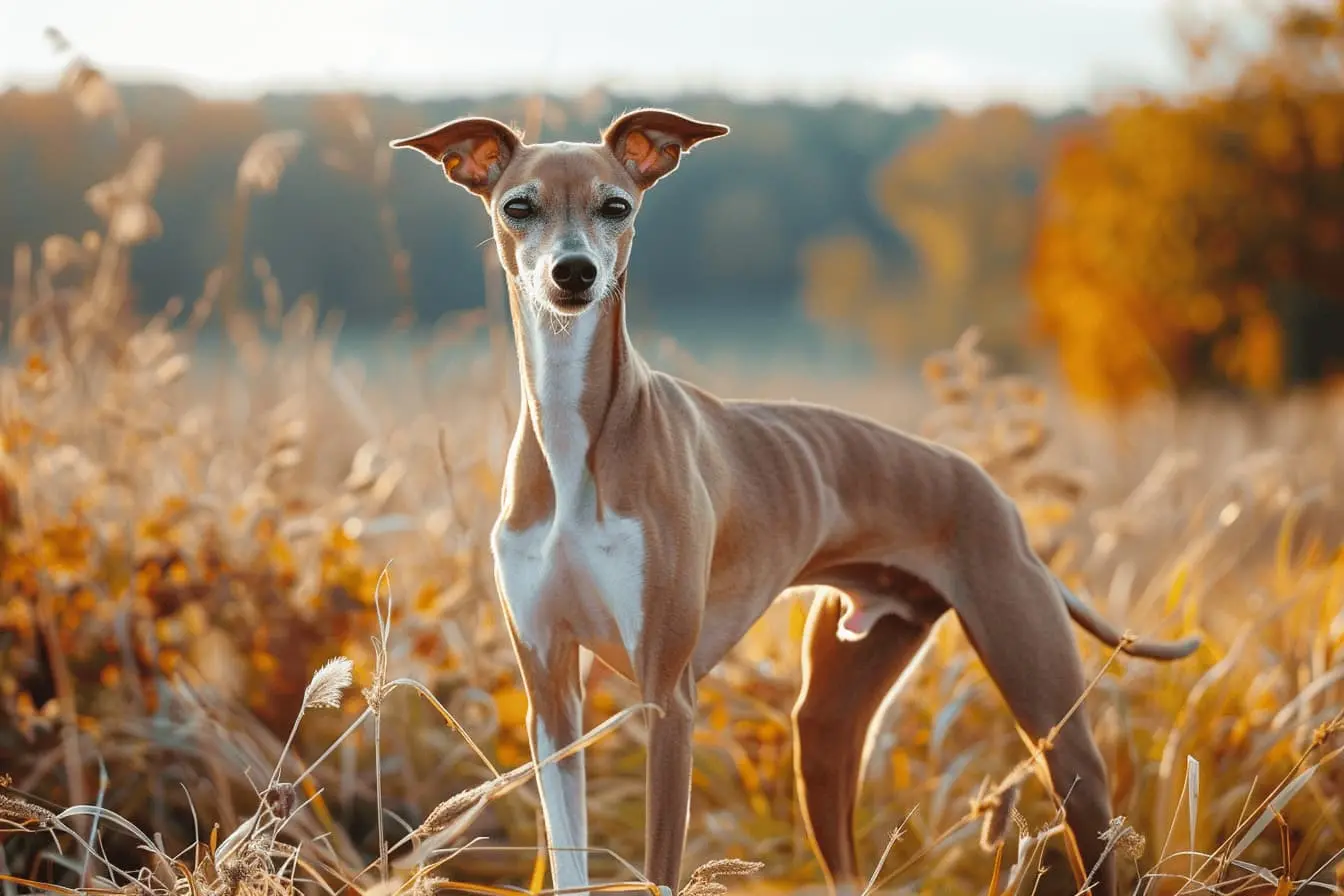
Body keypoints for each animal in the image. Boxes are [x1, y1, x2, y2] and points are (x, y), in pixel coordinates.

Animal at [392, 106, 1204, 896]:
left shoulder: (667, 697)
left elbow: (660, 866)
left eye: (615, 205)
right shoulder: (551, 695)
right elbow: (568, 861)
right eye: (519, 206)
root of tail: (994, 496)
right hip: (825, 730)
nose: (574, 273)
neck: (573, 440)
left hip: (1056, 732)